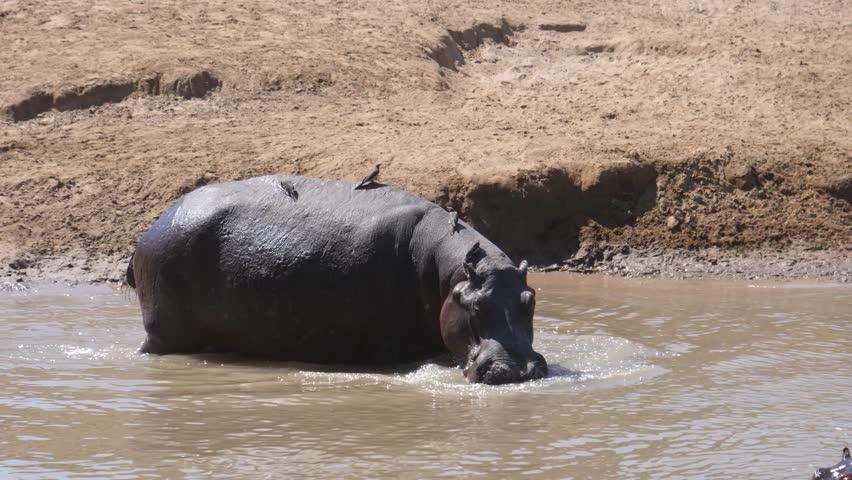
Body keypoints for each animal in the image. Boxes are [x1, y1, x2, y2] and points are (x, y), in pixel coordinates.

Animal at [127, 175, 547, 384]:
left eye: (530, 300)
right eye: (474, 306)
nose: (522, 370)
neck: (451, 271)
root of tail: (155, 225)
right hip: (163, 331)